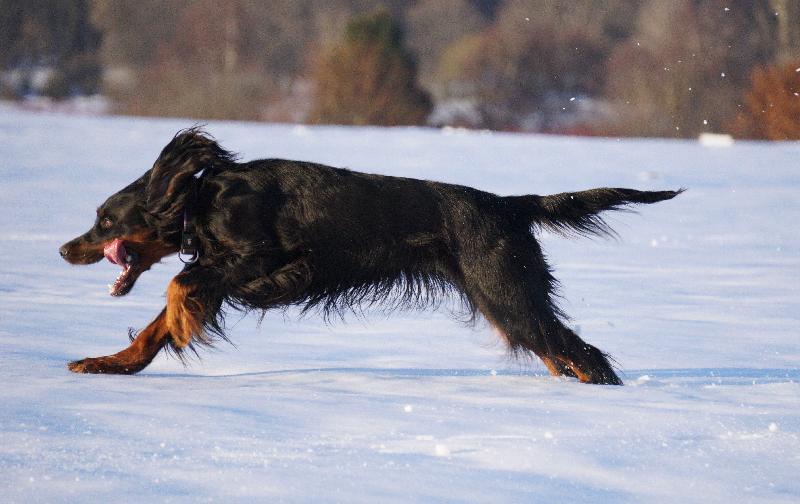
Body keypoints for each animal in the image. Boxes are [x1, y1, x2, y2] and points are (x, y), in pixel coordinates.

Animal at [59, 128, 681, 384]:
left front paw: (178, 322)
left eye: (104, 220)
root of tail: (506, 206)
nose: (65, 248)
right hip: (509, 299)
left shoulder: (269, 264)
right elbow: (155, 325)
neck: (202, 197)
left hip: (508, 292)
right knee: (563, 355)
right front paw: (111, 364)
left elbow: (178, 289)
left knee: (585, 355)